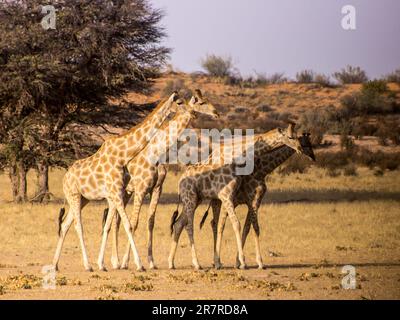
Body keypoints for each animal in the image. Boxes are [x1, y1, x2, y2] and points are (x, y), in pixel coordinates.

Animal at [52, 91, 181, 272]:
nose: (190, 111)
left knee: (65, 225)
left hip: (82, 199)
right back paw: (88, 265)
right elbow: (128, 224)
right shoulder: (125, 192)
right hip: (74, 195)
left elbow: (119, 224)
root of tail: (65, 177)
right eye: (180, 102)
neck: (121, 156)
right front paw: (138, 264)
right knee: (79, 226)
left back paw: (55, 265)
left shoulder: (130, 191)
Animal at [101, 89, 219, 270]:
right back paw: (116, 261)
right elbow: (135, 222)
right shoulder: (141, 189)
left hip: (126, 192)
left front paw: (151, 262)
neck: (157, 153)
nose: (216, 113)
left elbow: (150, 222)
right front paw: (129, 262)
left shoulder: (156, 188)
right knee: (115, 219)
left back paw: (115, 260)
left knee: (117, 219)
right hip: (119, 192)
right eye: (201, 102)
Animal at [168, 123, 304, 270]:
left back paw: (171, 262)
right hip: (190, 199)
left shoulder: (231, 197)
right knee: (189, 226)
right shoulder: (226, 196)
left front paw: (227, 262)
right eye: (290, 137)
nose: (300, 149)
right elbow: (236, 224)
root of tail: (180, 183)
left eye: (298, 137)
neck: (237, 157)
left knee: (179, 224)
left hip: (195, 199)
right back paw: (197, 263)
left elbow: (234, 225)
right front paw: (243, 262)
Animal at [200, 132, 316, 270]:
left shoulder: (255, 202)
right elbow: (254, 227)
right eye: (304, 143)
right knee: (218, 224)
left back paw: (216, 261)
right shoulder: (251, 200)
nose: (313, 157)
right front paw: (259, 262)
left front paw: (239, 262)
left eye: (310, 142)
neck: (262, 170)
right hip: (219, 200)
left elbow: (247, 228)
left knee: (214, 222)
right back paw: (216, 261)